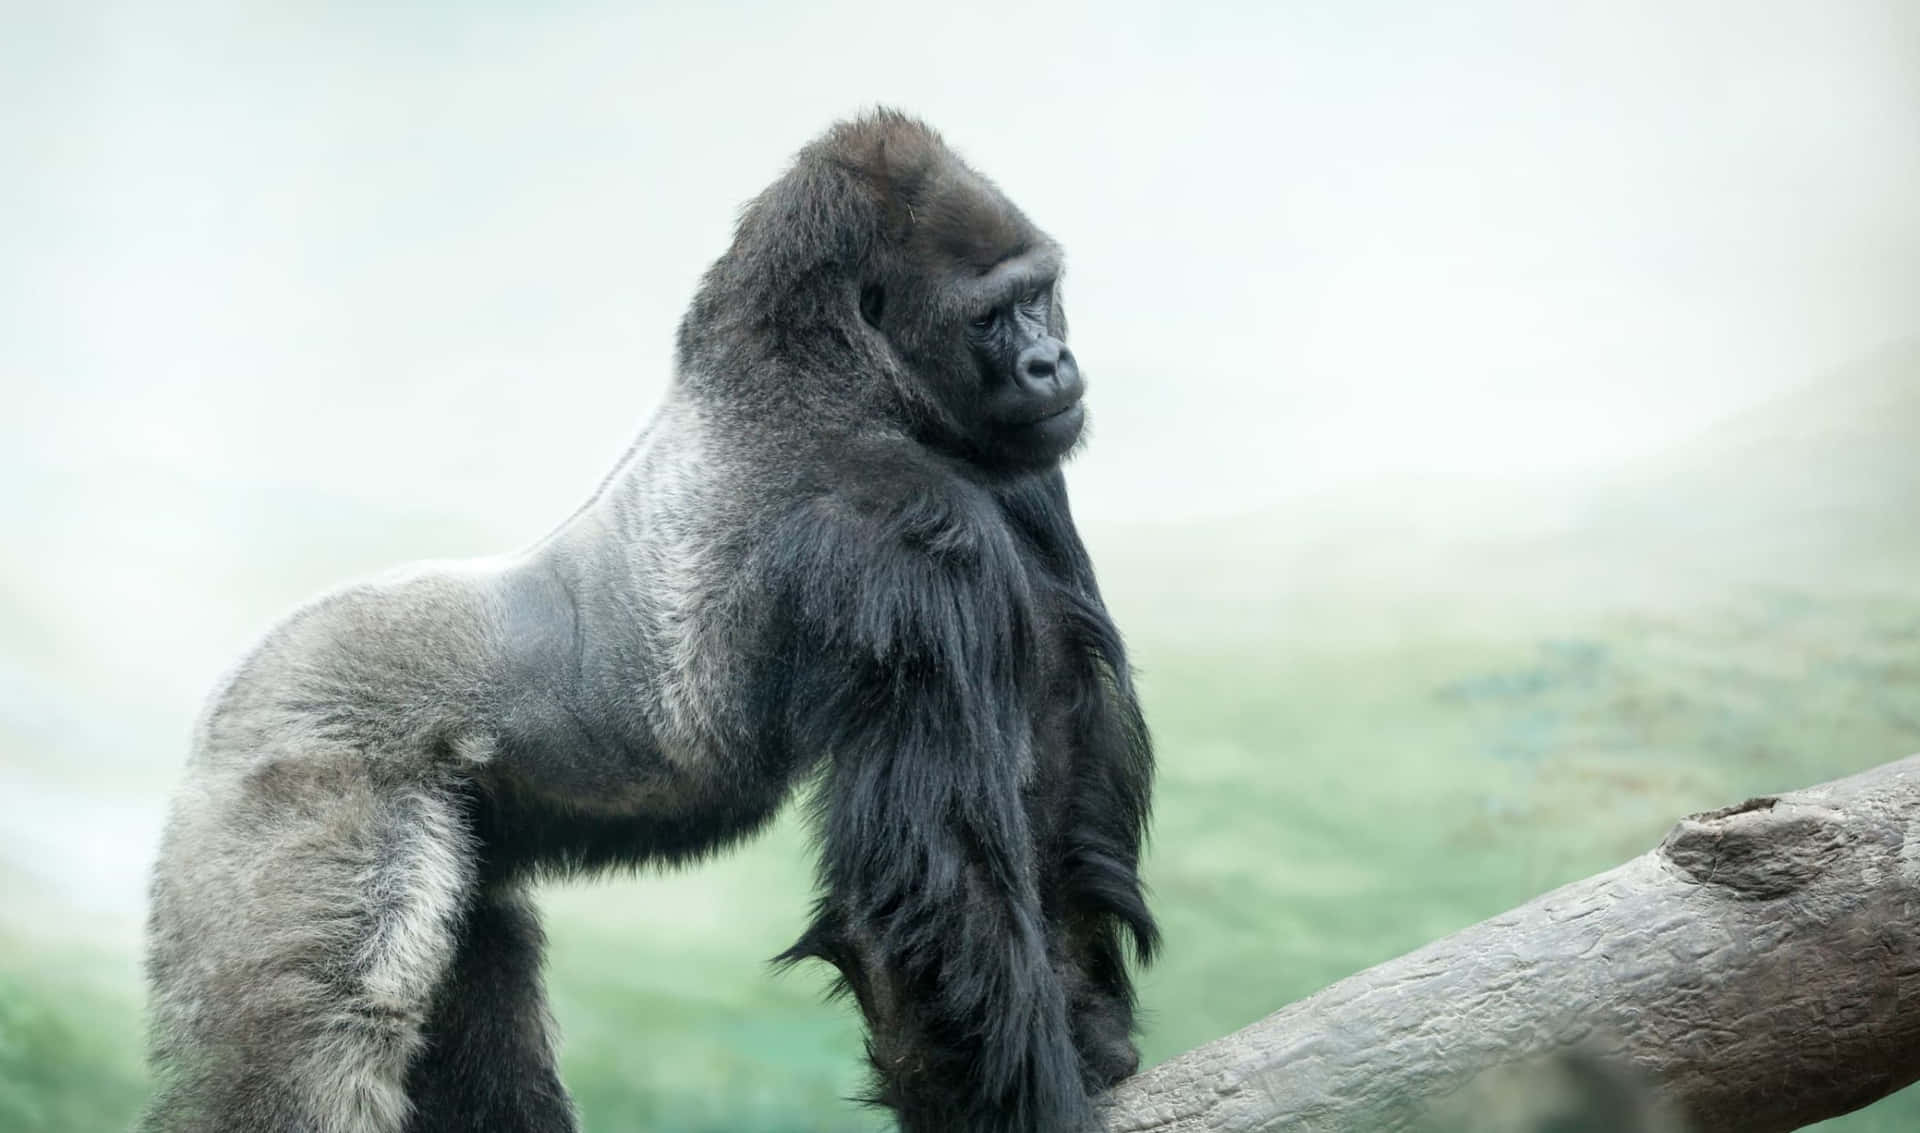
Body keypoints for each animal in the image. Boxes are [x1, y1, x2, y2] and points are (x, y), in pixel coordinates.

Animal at [140, 109, 1156, 1133]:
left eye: (1043, 294)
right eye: (991, 314)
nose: (1051, 362)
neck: (824, 375)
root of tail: (230, 696)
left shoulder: (1012, 468)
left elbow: (1059, 749)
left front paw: (1092, 1036)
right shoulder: (902, 531)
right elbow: (936, 895)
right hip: (292, 782)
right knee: (317, 1057)